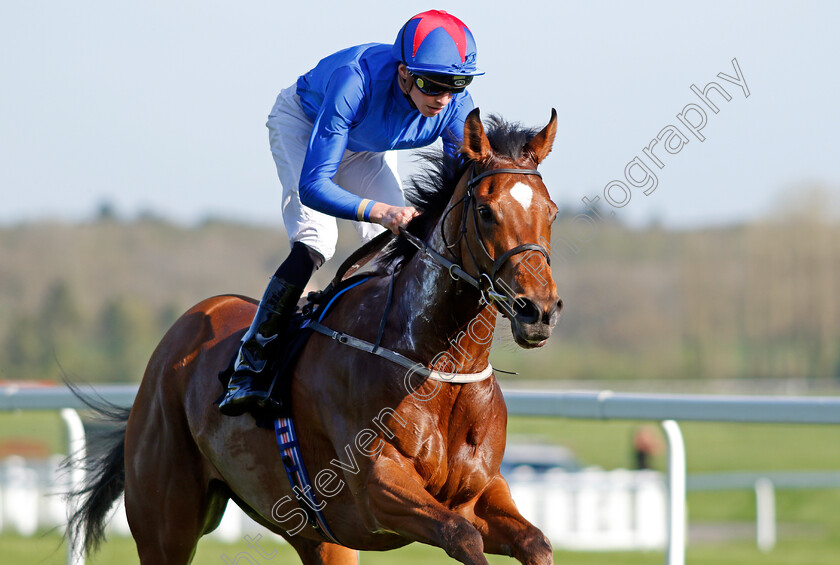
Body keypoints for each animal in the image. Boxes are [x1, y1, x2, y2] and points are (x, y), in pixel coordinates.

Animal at [69, 107, 560, 564]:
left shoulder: (480, 492)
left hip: (317, 536)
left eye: (551, 212)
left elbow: (535, 541)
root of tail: (186, 326)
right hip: (165, 522)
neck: (435, 364)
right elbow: (462, 535)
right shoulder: (377, 487)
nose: (538, 310)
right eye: (486, 211)